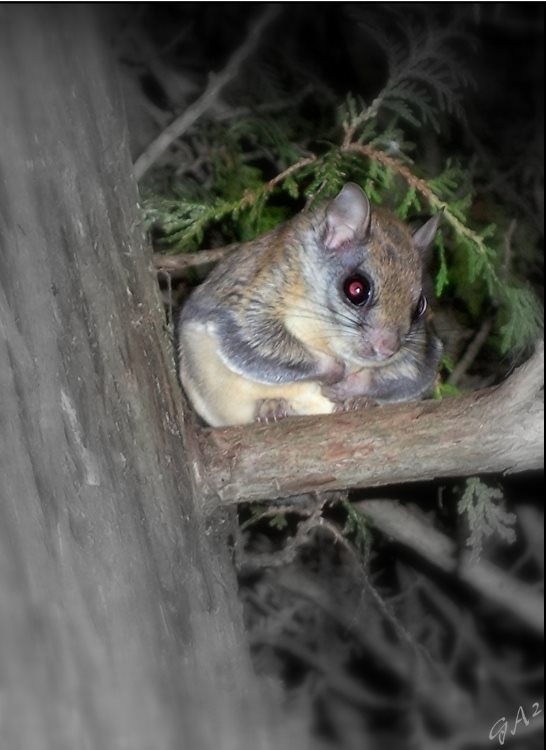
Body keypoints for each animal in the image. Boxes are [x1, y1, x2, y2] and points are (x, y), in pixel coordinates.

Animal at [177, 183, 443, 427]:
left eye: (420, 306)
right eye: (356, 289)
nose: (388, 348)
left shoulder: (423, 352)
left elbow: (410, 373)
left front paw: (354, 389)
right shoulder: (252, 297)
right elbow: (253, 338)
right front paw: (335, 370)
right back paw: (272, 406)